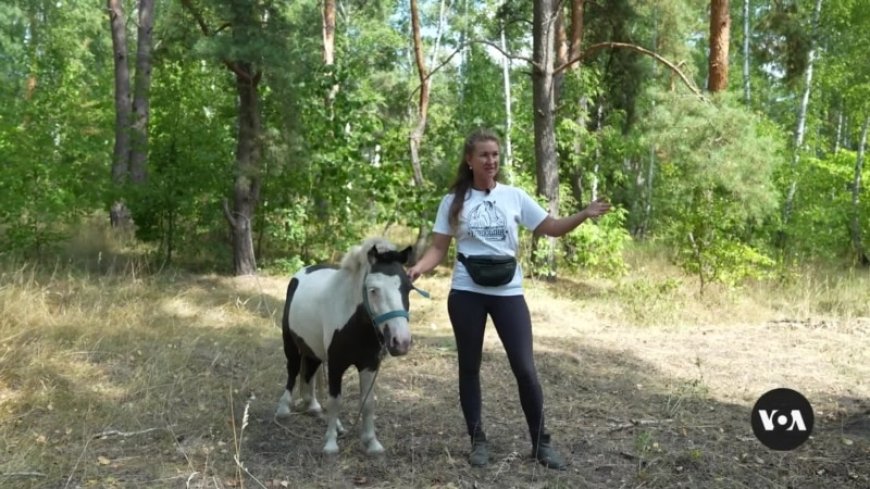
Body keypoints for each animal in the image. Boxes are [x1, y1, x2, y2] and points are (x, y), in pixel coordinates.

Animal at [276, 236, 418, 454]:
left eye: (408, 288)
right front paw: (330, 444)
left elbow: (368, 403)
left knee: (308, 374)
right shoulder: (336, 365)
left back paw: (315, 407)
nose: (400, 342)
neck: (354, 322)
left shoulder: (369, 365)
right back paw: (284, 409)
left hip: (314, 350)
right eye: (373, 290)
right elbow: (335, 401)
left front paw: (372, 443)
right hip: (291, 343)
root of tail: (302, 272)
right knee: (292, 370)